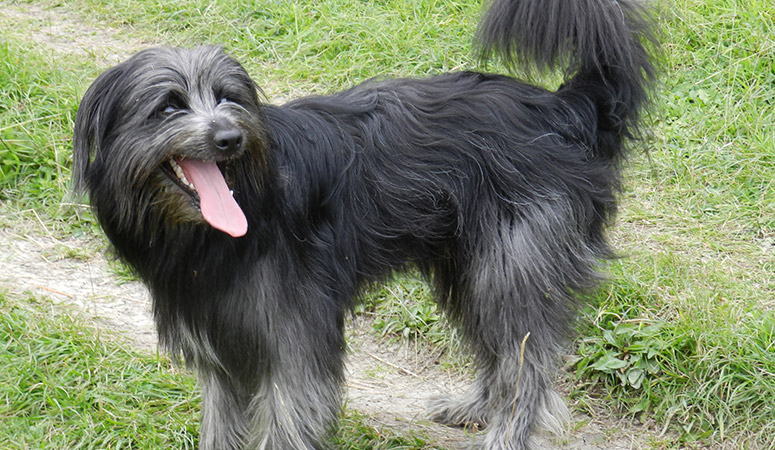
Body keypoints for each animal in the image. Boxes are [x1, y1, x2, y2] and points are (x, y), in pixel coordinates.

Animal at [71, 0, 656, 448]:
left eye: (228, 98)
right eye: (169, 107)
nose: (229, 139)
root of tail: (563, 110)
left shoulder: (294, 336)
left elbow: (290, 416)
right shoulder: (221, 341)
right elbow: (223, 422)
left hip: (513, 263)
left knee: (525, 361)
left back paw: (505, 434)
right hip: (470, 265)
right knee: (499, 349)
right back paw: (475, 407)